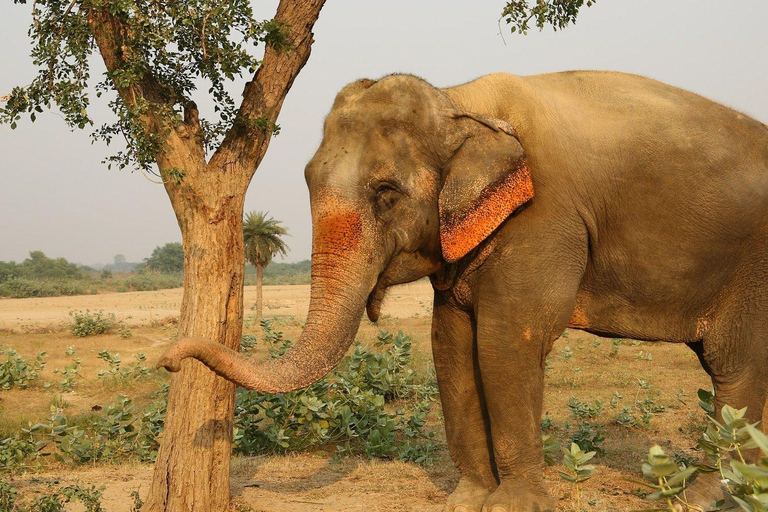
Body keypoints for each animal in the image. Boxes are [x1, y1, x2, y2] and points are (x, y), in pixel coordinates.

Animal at [159, 73, 768, 512]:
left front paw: (513, 506)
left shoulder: (543, 219)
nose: (168, 358)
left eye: (386, 193)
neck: (461, 101)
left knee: (735, 366)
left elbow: (505, 342)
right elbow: (450, 344)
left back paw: (702, 498)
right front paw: (467, 501)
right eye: (307, 179)